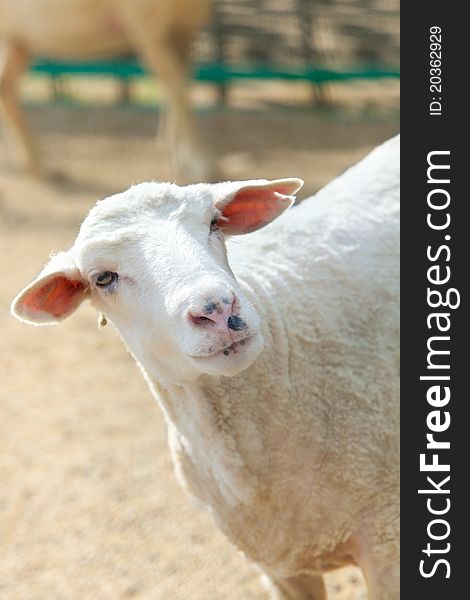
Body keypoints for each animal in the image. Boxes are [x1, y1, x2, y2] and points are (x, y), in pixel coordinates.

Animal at [0, 0, 213, 180]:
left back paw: (40, 168)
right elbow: (176, 88)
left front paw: (175, 156)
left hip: (18, 41)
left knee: (6, 87)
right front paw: (199, 165)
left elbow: (177, 86)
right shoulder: (146, 27)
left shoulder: (182, 29)